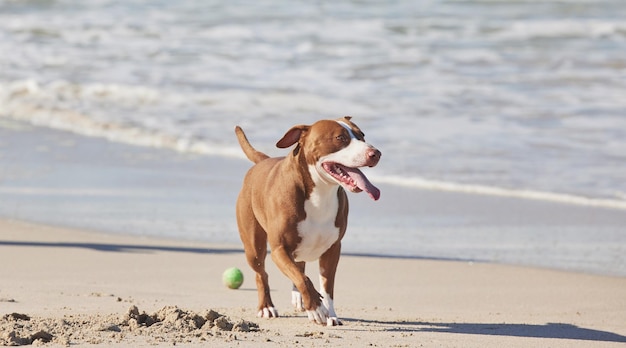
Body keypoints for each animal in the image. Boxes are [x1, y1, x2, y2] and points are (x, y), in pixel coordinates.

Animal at [234, 117, 380, 326]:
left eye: (362, 136)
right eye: (340, 138)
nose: (375, 153)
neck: (321, 191)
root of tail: (263, 161)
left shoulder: (333, 250)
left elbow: (326, 287)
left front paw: (330, 314)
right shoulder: (279, 250)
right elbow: (303, 279)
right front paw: (316, 308)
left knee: (299, 266)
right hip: (254, 247)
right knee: (262, 273)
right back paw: (266, 307)